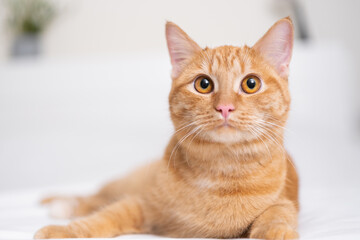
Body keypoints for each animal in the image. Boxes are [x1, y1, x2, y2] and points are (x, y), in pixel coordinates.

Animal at [34, 17, 298, 240]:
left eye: (251, 84)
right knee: (97, 196)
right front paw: (65, 230)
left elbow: (277, 215)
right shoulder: (142, 203)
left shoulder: (286, 202)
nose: (225, 107)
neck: (221, 171)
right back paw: (61, 205)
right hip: (127, 184)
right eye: (203, 84)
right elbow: (106, 216)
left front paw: (274, 233)